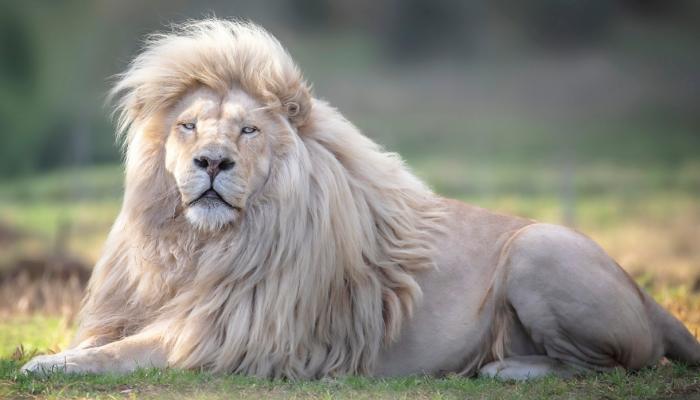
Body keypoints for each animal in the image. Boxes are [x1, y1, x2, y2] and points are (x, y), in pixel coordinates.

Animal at [22, 19, 700, 380]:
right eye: (189, 126)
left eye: (249, 131)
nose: (211, 163)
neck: (198, 245)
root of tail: (646, 294)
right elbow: (102, 343)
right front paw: (56, 353)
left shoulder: (225, 335)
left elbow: (117, 355)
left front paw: (42, 365)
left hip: (540, 247)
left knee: (612, 364)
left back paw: (505, 368)